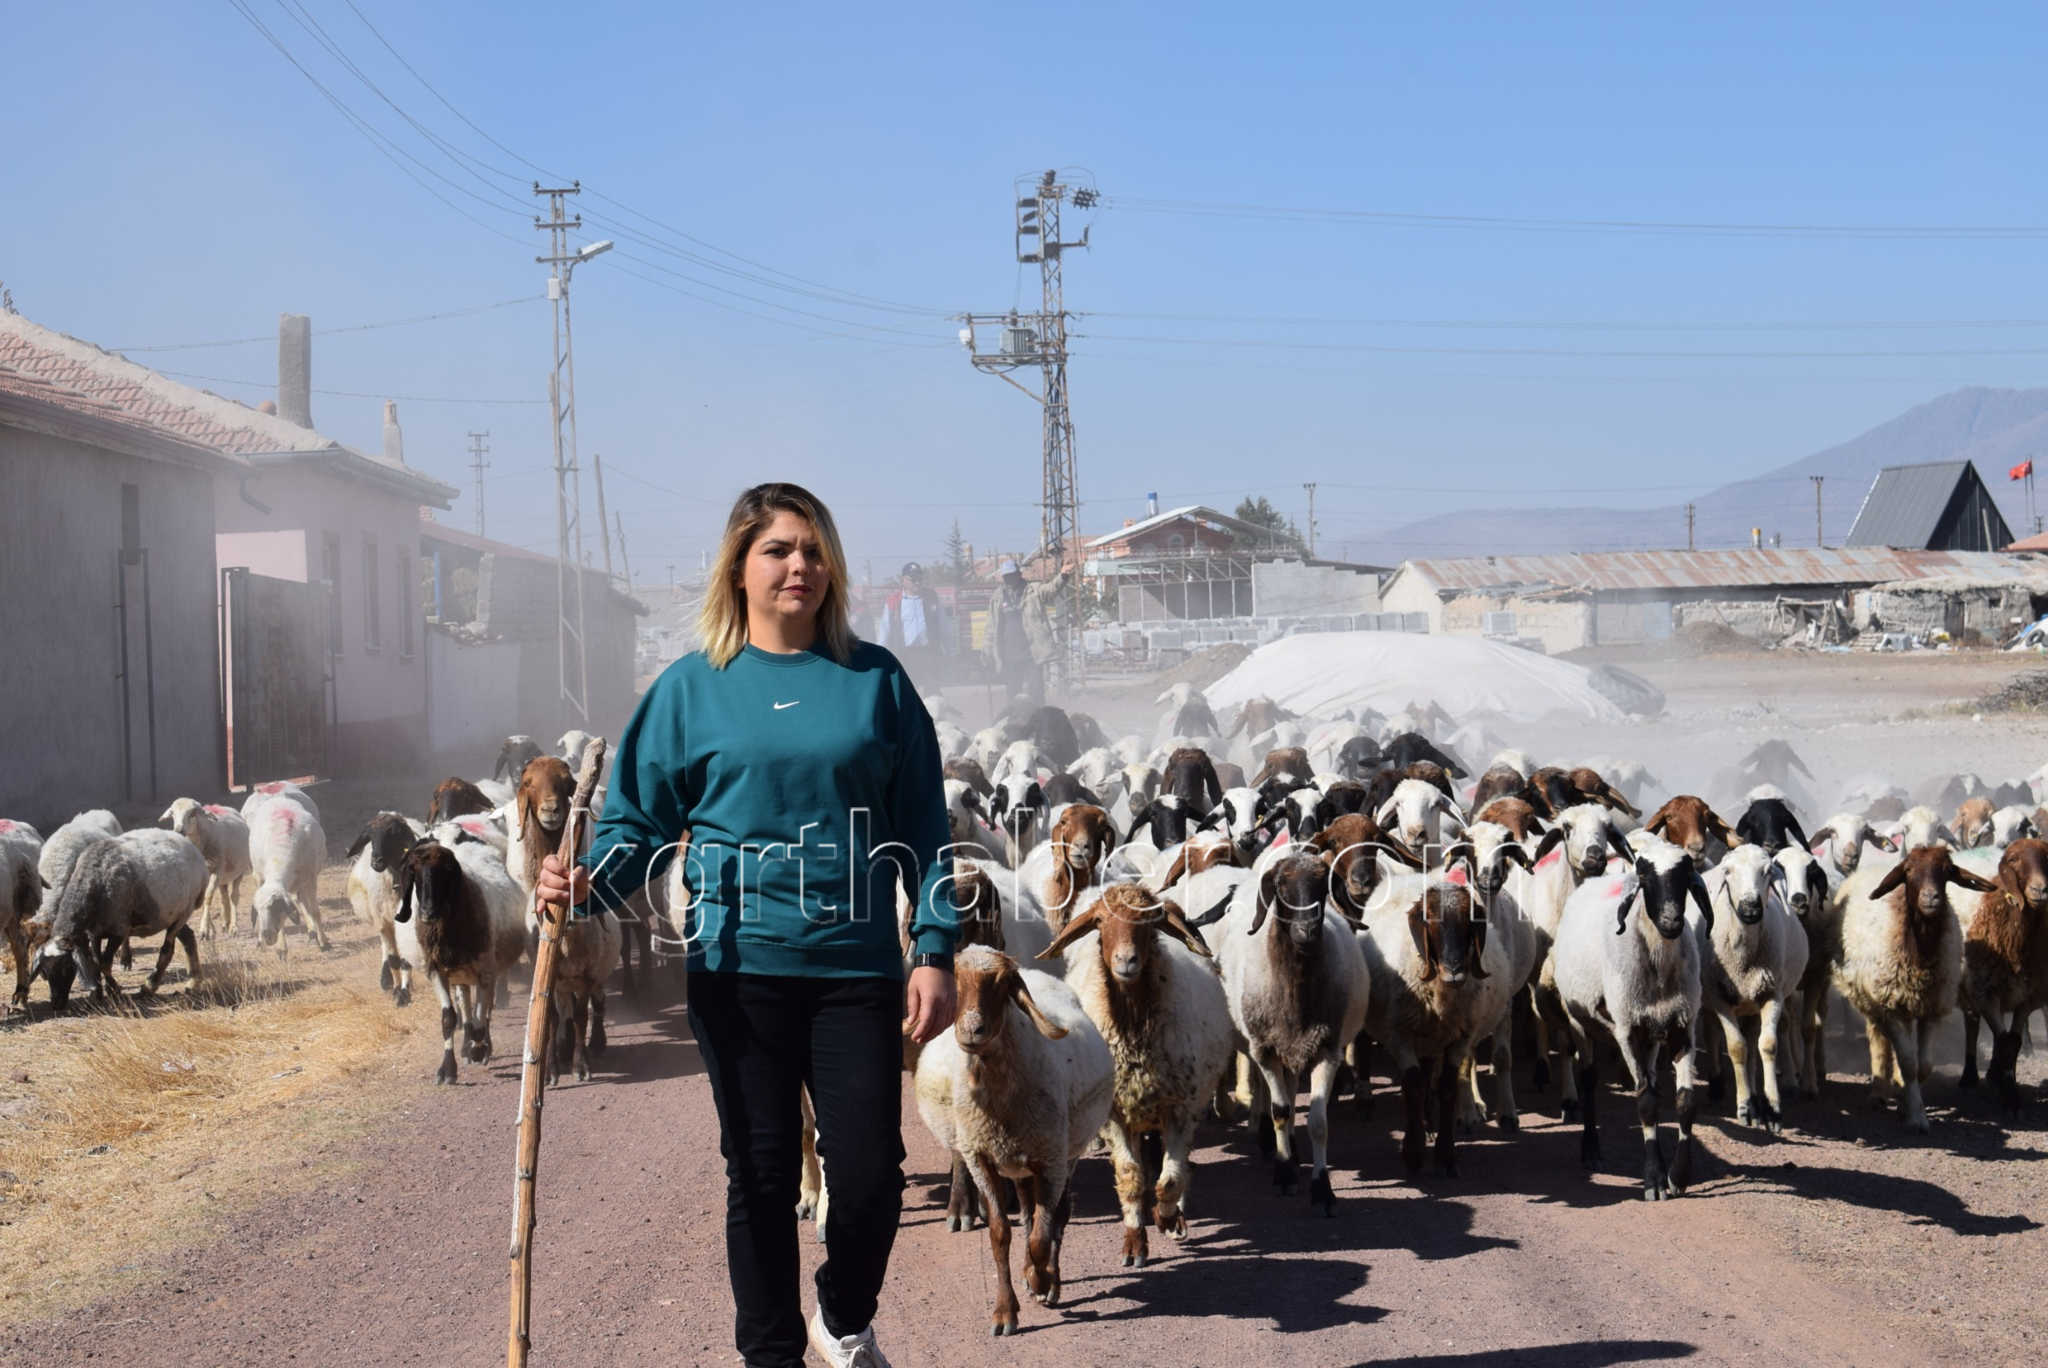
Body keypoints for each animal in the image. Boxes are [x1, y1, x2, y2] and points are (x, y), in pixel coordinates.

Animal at [913, 946, 1114, 1327]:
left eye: (1004, 983)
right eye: (954, 978)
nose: (972, 1030)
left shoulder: (1051, 1160)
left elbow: (1041, 1236)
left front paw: (1040, 1279)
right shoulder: (982, 1158)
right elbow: (1001, 1233)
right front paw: (1005, 1311)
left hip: (1065, 1153)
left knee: (1056, 1218)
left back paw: (1049, 1280)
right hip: (1020, 1165)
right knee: (1027, 1214)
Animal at [1548, 839, 1712, 1204]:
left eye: (1685, 877)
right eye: (1645, 878)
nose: (1671, 920)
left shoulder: (1683, 1028)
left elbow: (1685, 1102)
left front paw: (1678, 1176)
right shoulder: (1627, 1031)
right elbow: (1646, 1104)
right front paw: (1654, 1181)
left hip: (1652, 1033)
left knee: (1650, 1079)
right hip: (1581, 1021)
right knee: (1589, 1079)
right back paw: (1591, 1149)